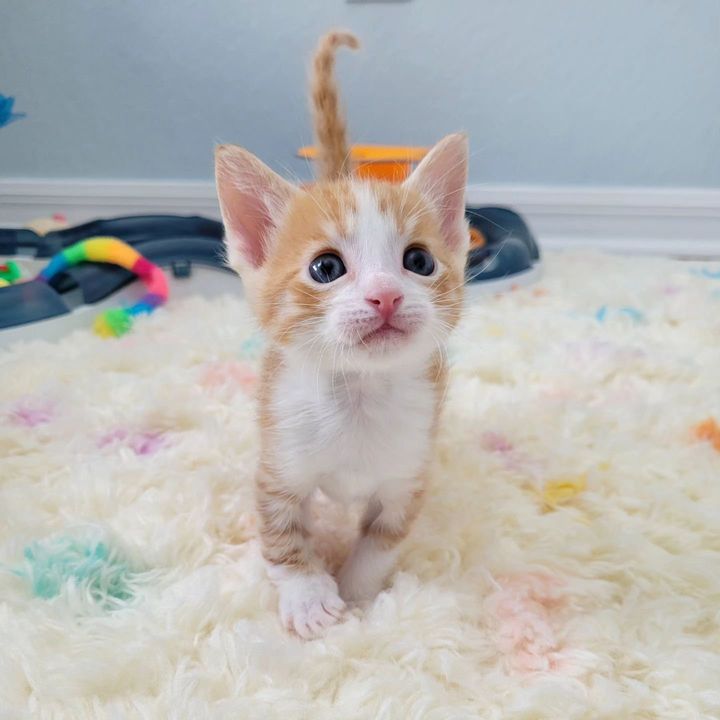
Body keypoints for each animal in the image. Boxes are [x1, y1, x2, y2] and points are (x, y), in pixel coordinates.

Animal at [217, 31, 470, 640]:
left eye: (419, 261)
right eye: (326, 268)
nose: (385, 295)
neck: (359, 395)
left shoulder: (407, 474)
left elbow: (382, 541)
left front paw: (357, 593)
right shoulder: (278, 462)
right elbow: (282, 536)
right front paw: (308, 597)